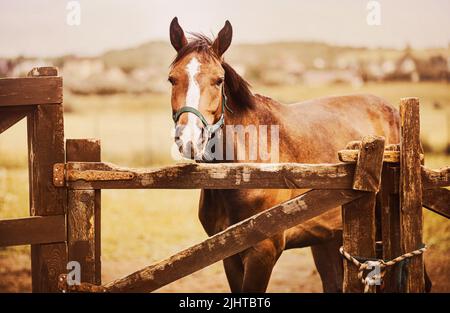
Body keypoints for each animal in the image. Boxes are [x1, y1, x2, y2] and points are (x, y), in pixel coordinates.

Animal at [168, 16, 426, 290]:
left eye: (218, 80)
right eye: (172, 79)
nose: (189, 139)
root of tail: (393, 110)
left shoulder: (263, 253)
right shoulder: (228, 254)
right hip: (329, 240)